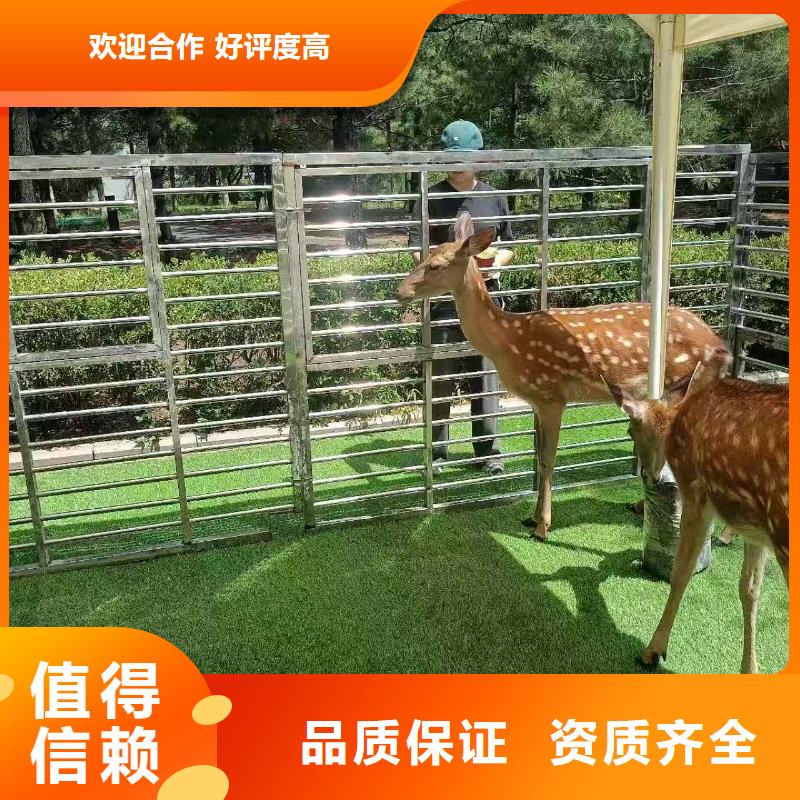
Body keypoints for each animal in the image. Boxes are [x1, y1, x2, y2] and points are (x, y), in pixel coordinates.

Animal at [396, 210, 727, 540]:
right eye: (425, 256)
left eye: (436, 265)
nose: (399, 292)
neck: (508, 340)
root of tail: (722, 347)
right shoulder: (535, 400)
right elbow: (539, 457)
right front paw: (531, 517)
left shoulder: (552, 395)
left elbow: (547, 459)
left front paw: (543, 525)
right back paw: (642, 506)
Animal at [608, 350, 789, 673]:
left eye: (629, 430)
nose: (648, 476)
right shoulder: (756, 529)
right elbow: (750, 589)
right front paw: (749, 668)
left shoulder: (696, 495)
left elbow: (681, 572)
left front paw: (653, 651)